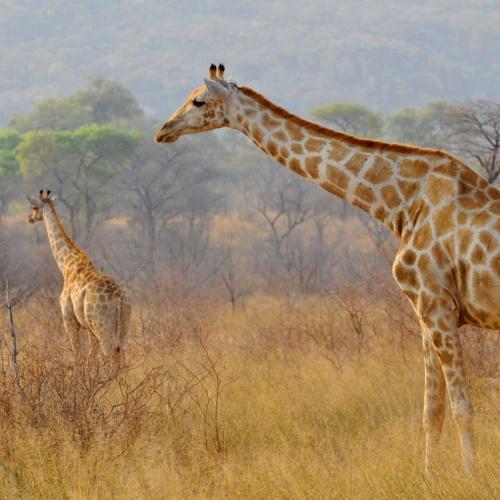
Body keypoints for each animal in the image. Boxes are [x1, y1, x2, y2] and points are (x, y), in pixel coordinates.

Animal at [27, 189, 131, 362]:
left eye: (35, 207)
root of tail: (119, 299)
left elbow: (78, 355)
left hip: (102, 326)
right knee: (120, 351)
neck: (67, 265)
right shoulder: (87, 326)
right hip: (123, 324)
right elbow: (91, 356)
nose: (29, 218)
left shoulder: (69, 320)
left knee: (109, 351)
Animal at [155, 62, 500, 472]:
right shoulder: (427, 311)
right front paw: (430, 477)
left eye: (198, 100)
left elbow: (462, 406)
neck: (401, 204)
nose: (163, 130)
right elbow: (432, 411)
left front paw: (469, 476)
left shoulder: (436, 306)